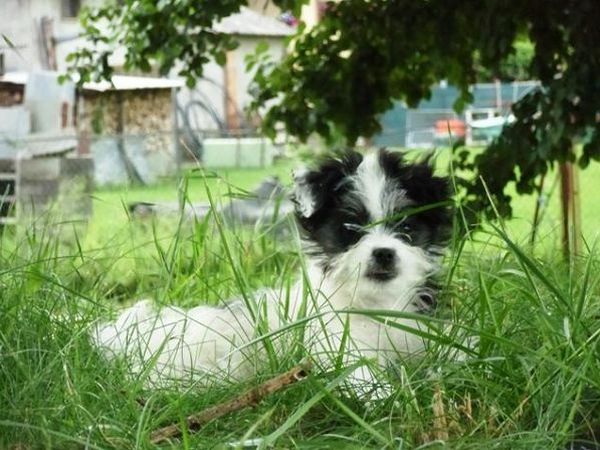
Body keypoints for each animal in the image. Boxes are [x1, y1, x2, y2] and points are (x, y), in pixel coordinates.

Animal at [95, 149, 450, 398]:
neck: (376, 303)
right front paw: (387, 398)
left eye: (406, 228)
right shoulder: (333, 342)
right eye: (350, 228)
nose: (384, 253)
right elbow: (356, 370)